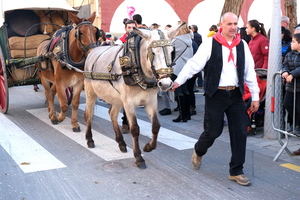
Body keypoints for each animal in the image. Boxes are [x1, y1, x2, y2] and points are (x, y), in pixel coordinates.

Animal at [82, 25, 180, 168]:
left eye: (172, 52)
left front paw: (149, 147)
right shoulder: (128, 103)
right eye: (153, 53)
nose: (166, 84)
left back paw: (121, 143)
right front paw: (139, 157)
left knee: (112, 114)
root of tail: (92, 51)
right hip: (91, 92)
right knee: (89, 114)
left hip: (116, 98)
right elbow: (134, 129)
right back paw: (89, 139)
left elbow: (156, 126)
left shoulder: (151, 102)